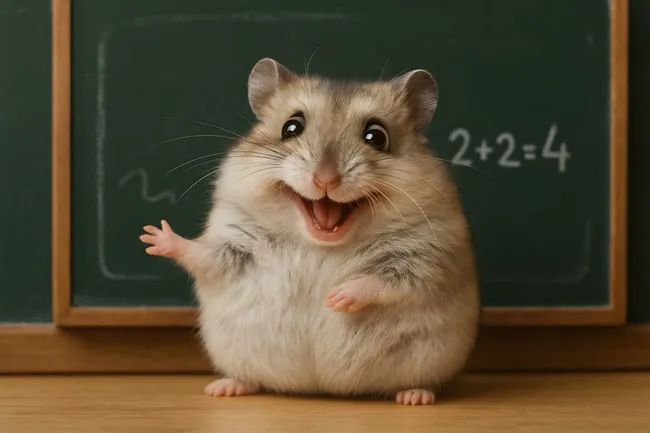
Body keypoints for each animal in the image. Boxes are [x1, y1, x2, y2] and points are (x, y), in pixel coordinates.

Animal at [140, 57, 480, 405]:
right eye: (291, 128)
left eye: (377, 136)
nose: (325, 178)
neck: (319, 244)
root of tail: (323, 387)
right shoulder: (232, 241)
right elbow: (201, 253)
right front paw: (153, 235)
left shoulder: (426, 258)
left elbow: (383, 282)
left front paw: (336, 297)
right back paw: (224, 388)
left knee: (420, 382)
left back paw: (414, 396)